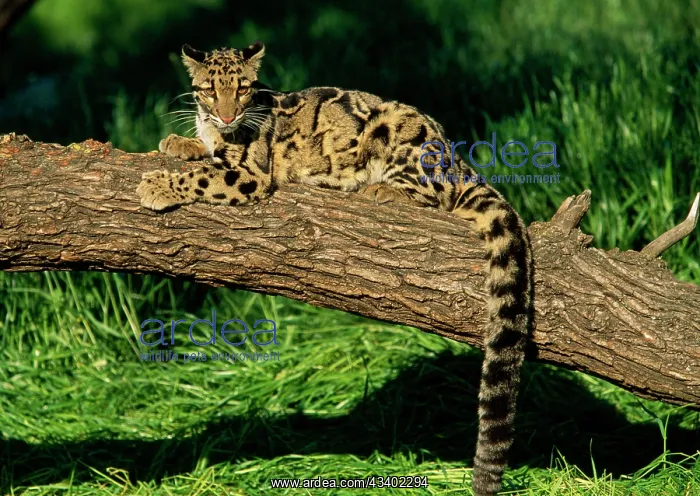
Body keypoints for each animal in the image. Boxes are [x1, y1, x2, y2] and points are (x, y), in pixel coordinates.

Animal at [137, 41, 535, 496]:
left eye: (241, 89)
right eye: (209, 89)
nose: (226, 115)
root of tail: (458, 157)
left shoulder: (250, 174)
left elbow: (204, 177)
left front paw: (158, 185)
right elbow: (202, 150)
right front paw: (180, 143)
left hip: (398, 131)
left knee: (433, 196)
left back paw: (378, 190)